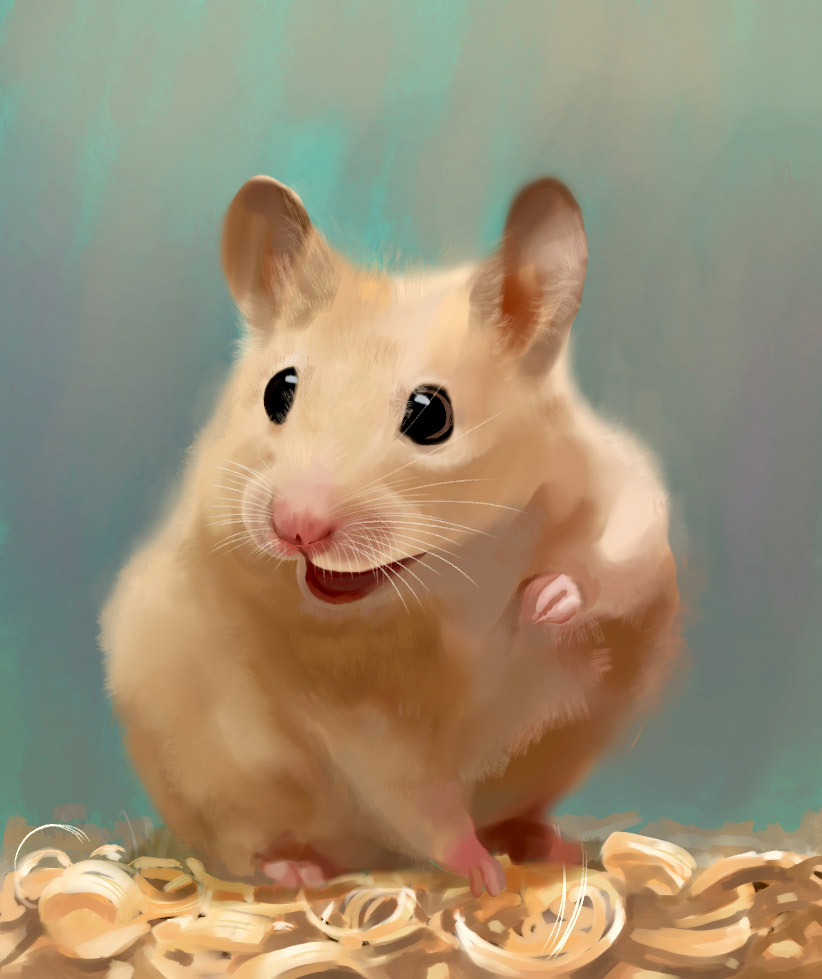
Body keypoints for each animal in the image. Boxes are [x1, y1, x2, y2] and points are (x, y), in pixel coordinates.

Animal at [99, 174, 680, 897]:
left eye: (431, 414)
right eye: (278, 390)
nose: (294, 526)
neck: (460, 570)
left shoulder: (630, 505)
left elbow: (617, 567)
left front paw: (543, 604)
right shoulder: (359, 723)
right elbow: (422, 804)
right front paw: (485, 880)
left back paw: (554, 844)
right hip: (212, 781)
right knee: (243, 846)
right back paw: (301, 869)